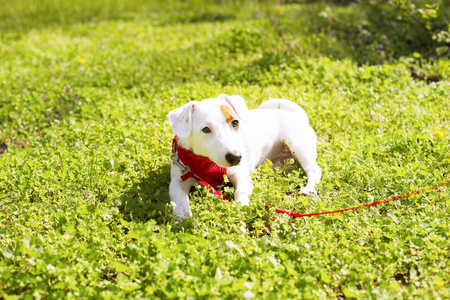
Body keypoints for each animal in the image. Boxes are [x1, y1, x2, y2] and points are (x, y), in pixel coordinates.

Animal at [167, 95, 322, 219]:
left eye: (235, 123)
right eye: (206, 129)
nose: (236, 157)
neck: (207, 162)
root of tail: (297, 117)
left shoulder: (239, 174)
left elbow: (241, 189)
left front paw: (240, 206)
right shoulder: (179, 178)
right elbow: (178, 195)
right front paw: (182, 210)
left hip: (299, 145)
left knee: (314, 169)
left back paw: (309, 188)